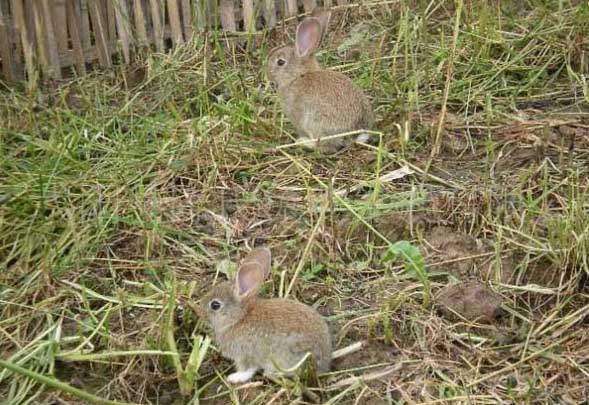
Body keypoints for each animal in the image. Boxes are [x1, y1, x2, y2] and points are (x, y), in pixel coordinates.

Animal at [201, 246, 330, 382]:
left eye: (215, 305)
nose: (201, 313)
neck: (239, 318)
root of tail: (323, 365)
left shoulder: (244, 354)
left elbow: (248, 370)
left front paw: (234, 378)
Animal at [266, 11, 372, 154]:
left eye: (280, 62)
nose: (267, 74)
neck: (297, 76)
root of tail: (355, 132)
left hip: (315, 123)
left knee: (325, 146)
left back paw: (302, 142)